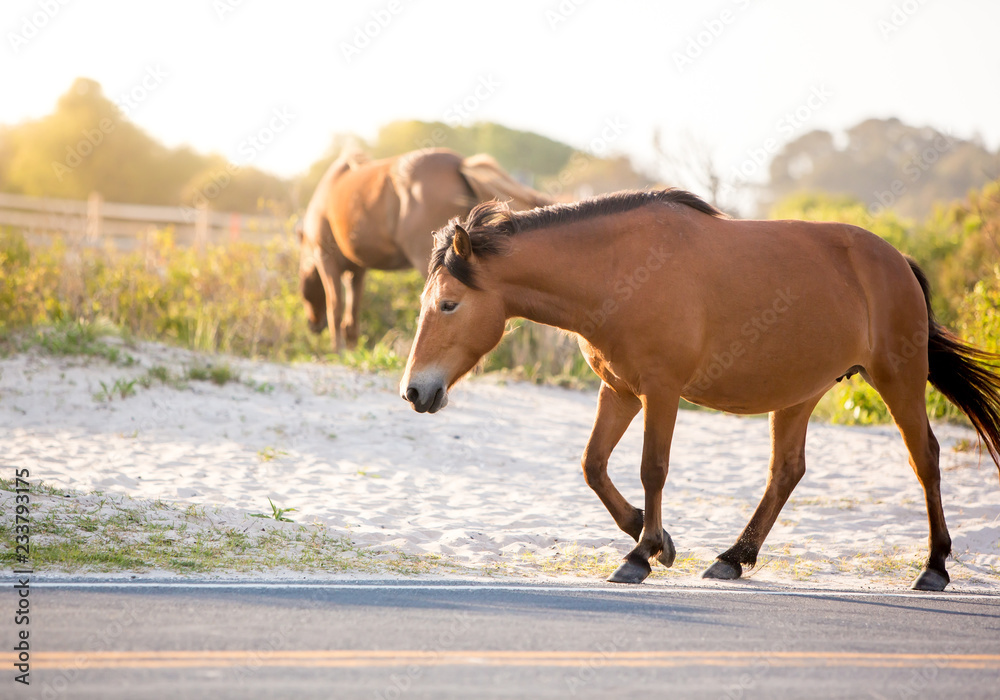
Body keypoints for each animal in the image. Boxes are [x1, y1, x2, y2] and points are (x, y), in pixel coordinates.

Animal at [298, 147, 552, 351]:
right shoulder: (357, 271)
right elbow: (352, 314)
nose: (312, 325)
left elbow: (335, 306)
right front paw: (351, 350)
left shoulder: (327, 260)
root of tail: (458, 163)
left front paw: (338, 350)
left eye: (303, 284)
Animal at [399, 188, 1000, 591]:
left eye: (449, 303)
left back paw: (934, 567)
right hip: (799, 394)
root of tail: (897, 261)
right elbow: (593, 465)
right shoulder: (619, 391)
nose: (414, 392)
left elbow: (652, 469)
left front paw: (640, 555)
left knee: (925, 458)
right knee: (786, 471)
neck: (620, 269)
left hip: (898, 378)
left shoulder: (660, 392)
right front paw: (653, 538)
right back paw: (734, 557)